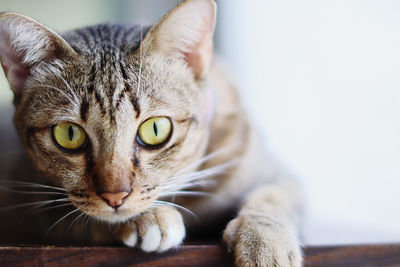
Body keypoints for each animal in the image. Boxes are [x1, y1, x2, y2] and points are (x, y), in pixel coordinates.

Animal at [0, 0, 302, 266]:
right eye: (69, 134)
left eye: (155, 129)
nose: (114, 196)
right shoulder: (29, 204)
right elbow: (79, 216)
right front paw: (149, 217)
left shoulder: (274, 172)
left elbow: (272, 196)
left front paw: (265, 241)